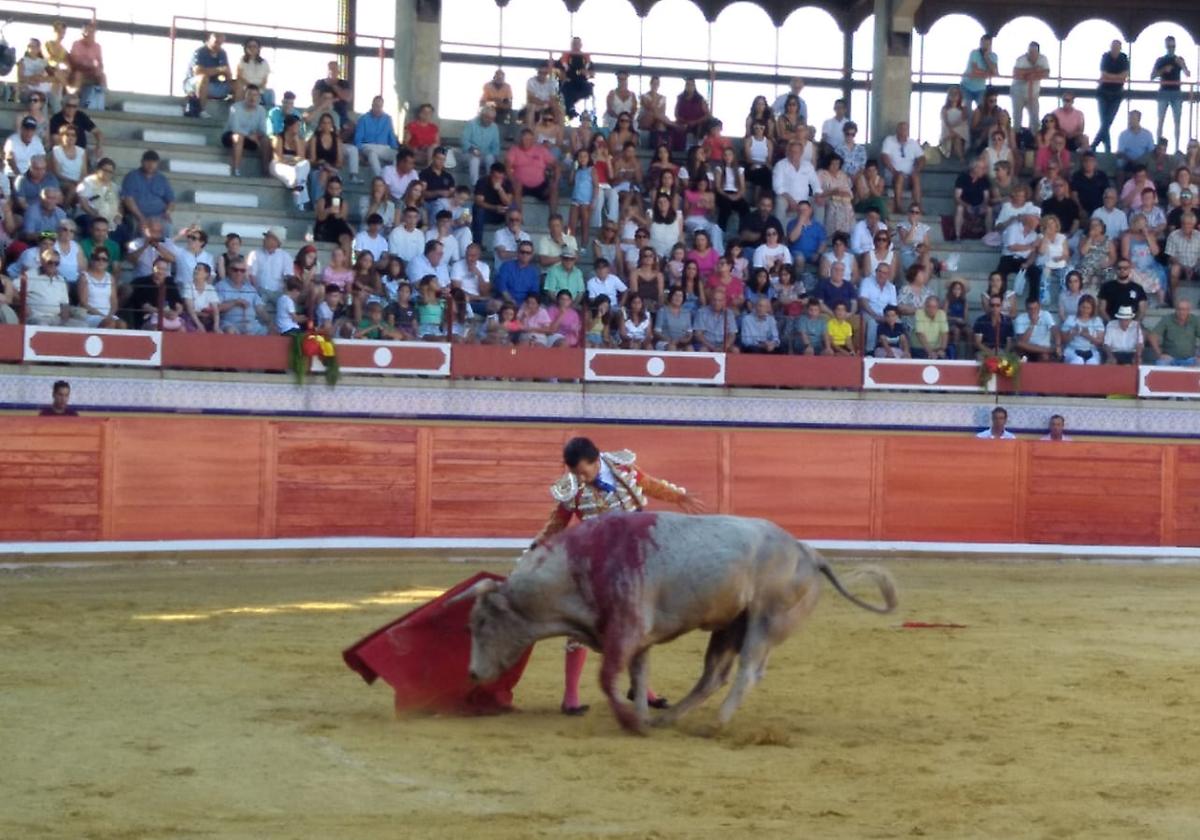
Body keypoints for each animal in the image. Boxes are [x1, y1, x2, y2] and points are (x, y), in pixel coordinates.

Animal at [458, 508, 902, 729]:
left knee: (747, 671)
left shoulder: (625, 631)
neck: (578, 567)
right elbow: (636, 677)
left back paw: (718, 724)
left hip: (764, 621)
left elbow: (608, 678)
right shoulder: (636, 639)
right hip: (729, 627)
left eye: (479, 625)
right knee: (713, 676)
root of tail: (808, 552)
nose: (473, 673)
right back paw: (670, 718)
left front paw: (630, 721)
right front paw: (641, 716)